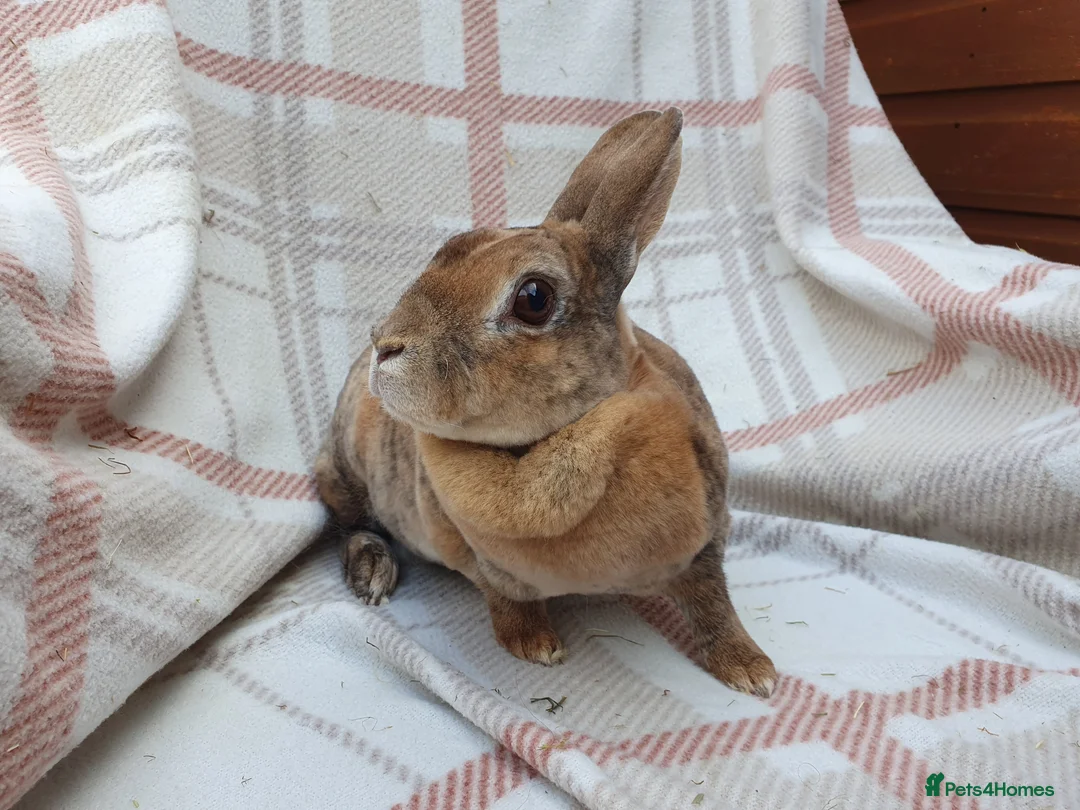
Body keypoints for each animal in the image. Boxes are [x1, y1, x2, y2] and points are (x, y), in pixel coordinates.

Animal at [316, 108, 776, 697]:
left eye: (534, 298)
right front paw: (536, 647)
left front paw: (753, 673)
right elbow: (506, 600)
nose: (385, 344)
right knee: (350, 523)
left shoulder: (707, 541)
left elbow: (714, 607)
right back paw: (373, 574)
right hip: (346, 473)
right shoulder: (479, 559)